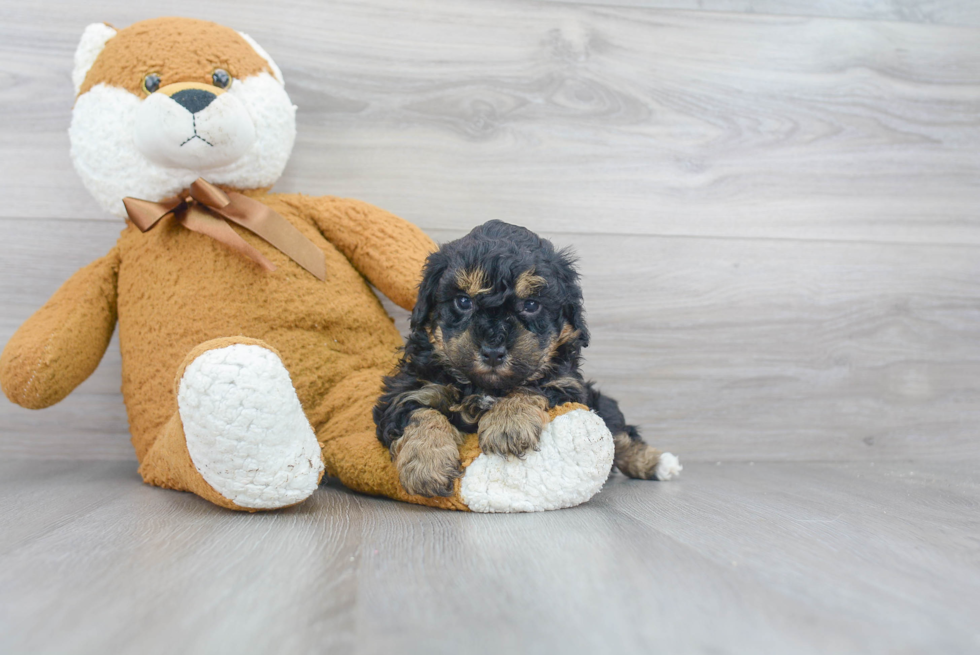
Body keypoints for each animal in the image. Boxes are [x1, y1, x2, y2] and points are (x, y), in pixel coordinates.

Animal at [372, 220, 676, 498]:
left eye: (531, 305)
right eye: (463, 301)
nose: (493, 351)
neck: (484, 387)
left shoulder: (566, 384)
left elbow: (530, 385)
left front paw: (508, 423)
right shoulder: (410, 388)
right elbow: (420, 413)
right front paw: (426, 463)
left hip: (600, 403)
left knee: (620, 434)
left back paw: (659, 463)